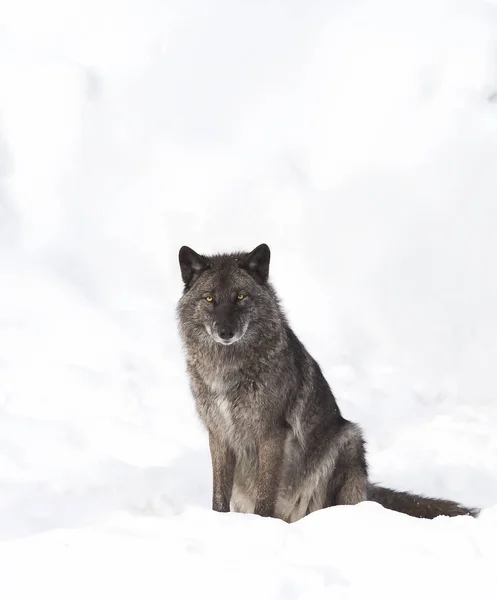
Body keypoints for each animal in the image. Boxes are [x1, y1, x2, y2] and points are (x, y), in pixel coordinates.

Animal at [175, 243, 476, 520]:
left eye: (240, 296)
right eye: (209, 298)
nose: (225, 332)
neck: (228, 369)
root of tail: (367, 489)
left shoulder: (272, 433)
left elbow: (265, 494)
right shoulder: (219, 434)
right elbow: (219, 495)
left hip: (348, 441)